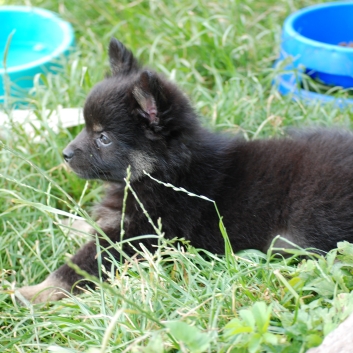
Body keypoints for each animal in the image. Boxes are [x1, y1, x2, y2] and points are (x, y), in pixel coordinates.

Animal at [18, 38, 353, 302]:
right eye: (87, 127)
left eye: (103, 138)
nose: (65, 154)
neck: (164, 172)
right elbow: (90, 222)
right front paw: (60, 221)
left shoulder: (139, 235)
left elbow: (80, 263)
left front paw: (32, 292)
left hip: (300, 229)